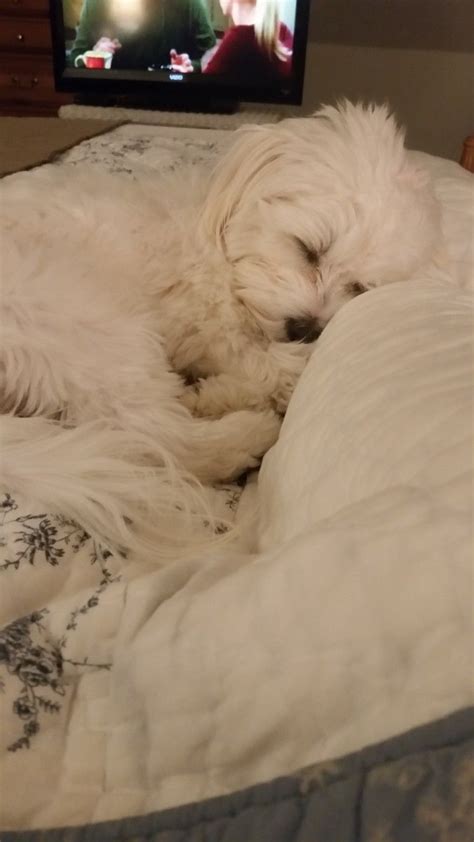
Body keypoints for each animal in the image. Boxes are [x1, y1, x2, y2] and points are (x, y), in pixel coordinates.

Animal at [0, 101, 438, 560]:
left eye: (358, 287)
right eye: (309, 250)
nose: (304, 328)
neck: (221, 245)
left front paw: (212, 395)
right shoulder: (210, 325)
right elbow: (269, 366)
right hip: (90, 321)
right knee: (159, 439)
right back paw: (248, 435)